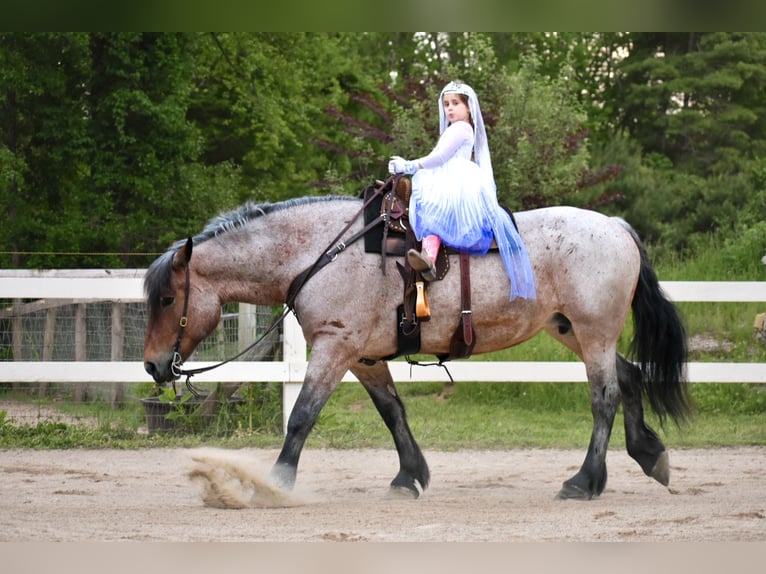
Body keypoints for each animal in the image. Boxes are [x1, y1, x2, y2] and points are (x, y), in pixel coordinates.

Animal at [142, 192, 688, 500]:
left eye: (167, 298)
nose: (152, 365)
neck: (320, 252)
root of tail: (615, 226)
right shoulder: (362, 356)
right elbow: (393, 412)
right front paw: (410, 476)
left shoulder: (335, 348)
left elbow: (301, 416)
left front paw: (274, 484)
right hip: (572, 329)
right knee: (630, 377)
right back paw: (648, 455)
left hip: (593, 332)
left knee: (605, 398)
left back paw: (584, 482)